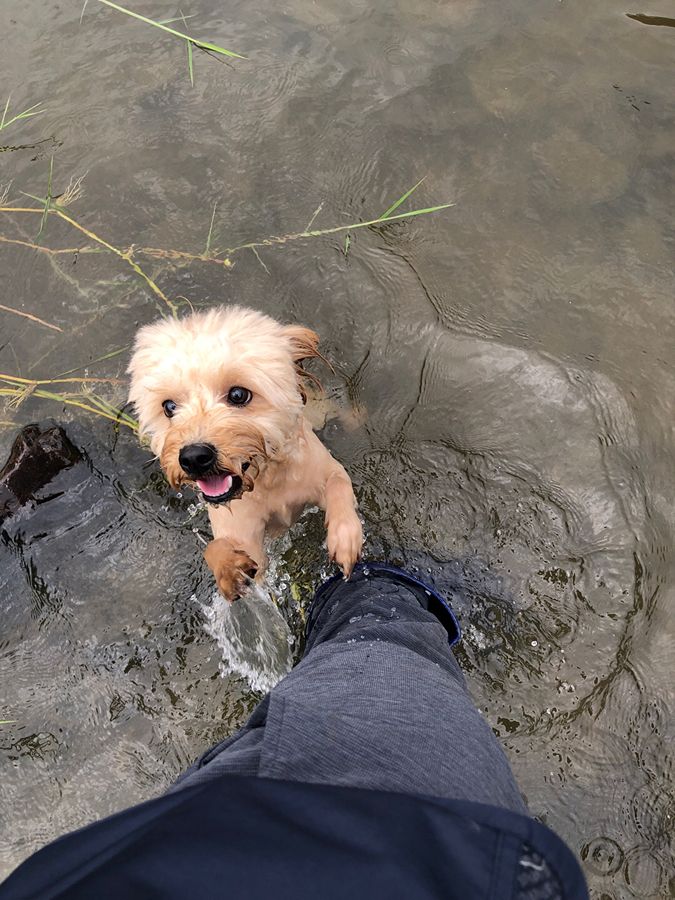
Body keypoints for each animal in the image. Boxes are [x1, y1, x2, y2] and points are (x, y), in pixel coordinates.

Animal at [130, 306, 368, 600]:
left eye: (238, 395)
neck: (267, 479)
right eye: (169, 407)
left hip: (320, 410)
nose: (193, 458)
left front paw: (344, 539)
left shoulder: (324, 470)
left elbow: (338, 485)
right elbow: (217, 548)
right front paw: (228, 568)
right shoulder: (242, 530)